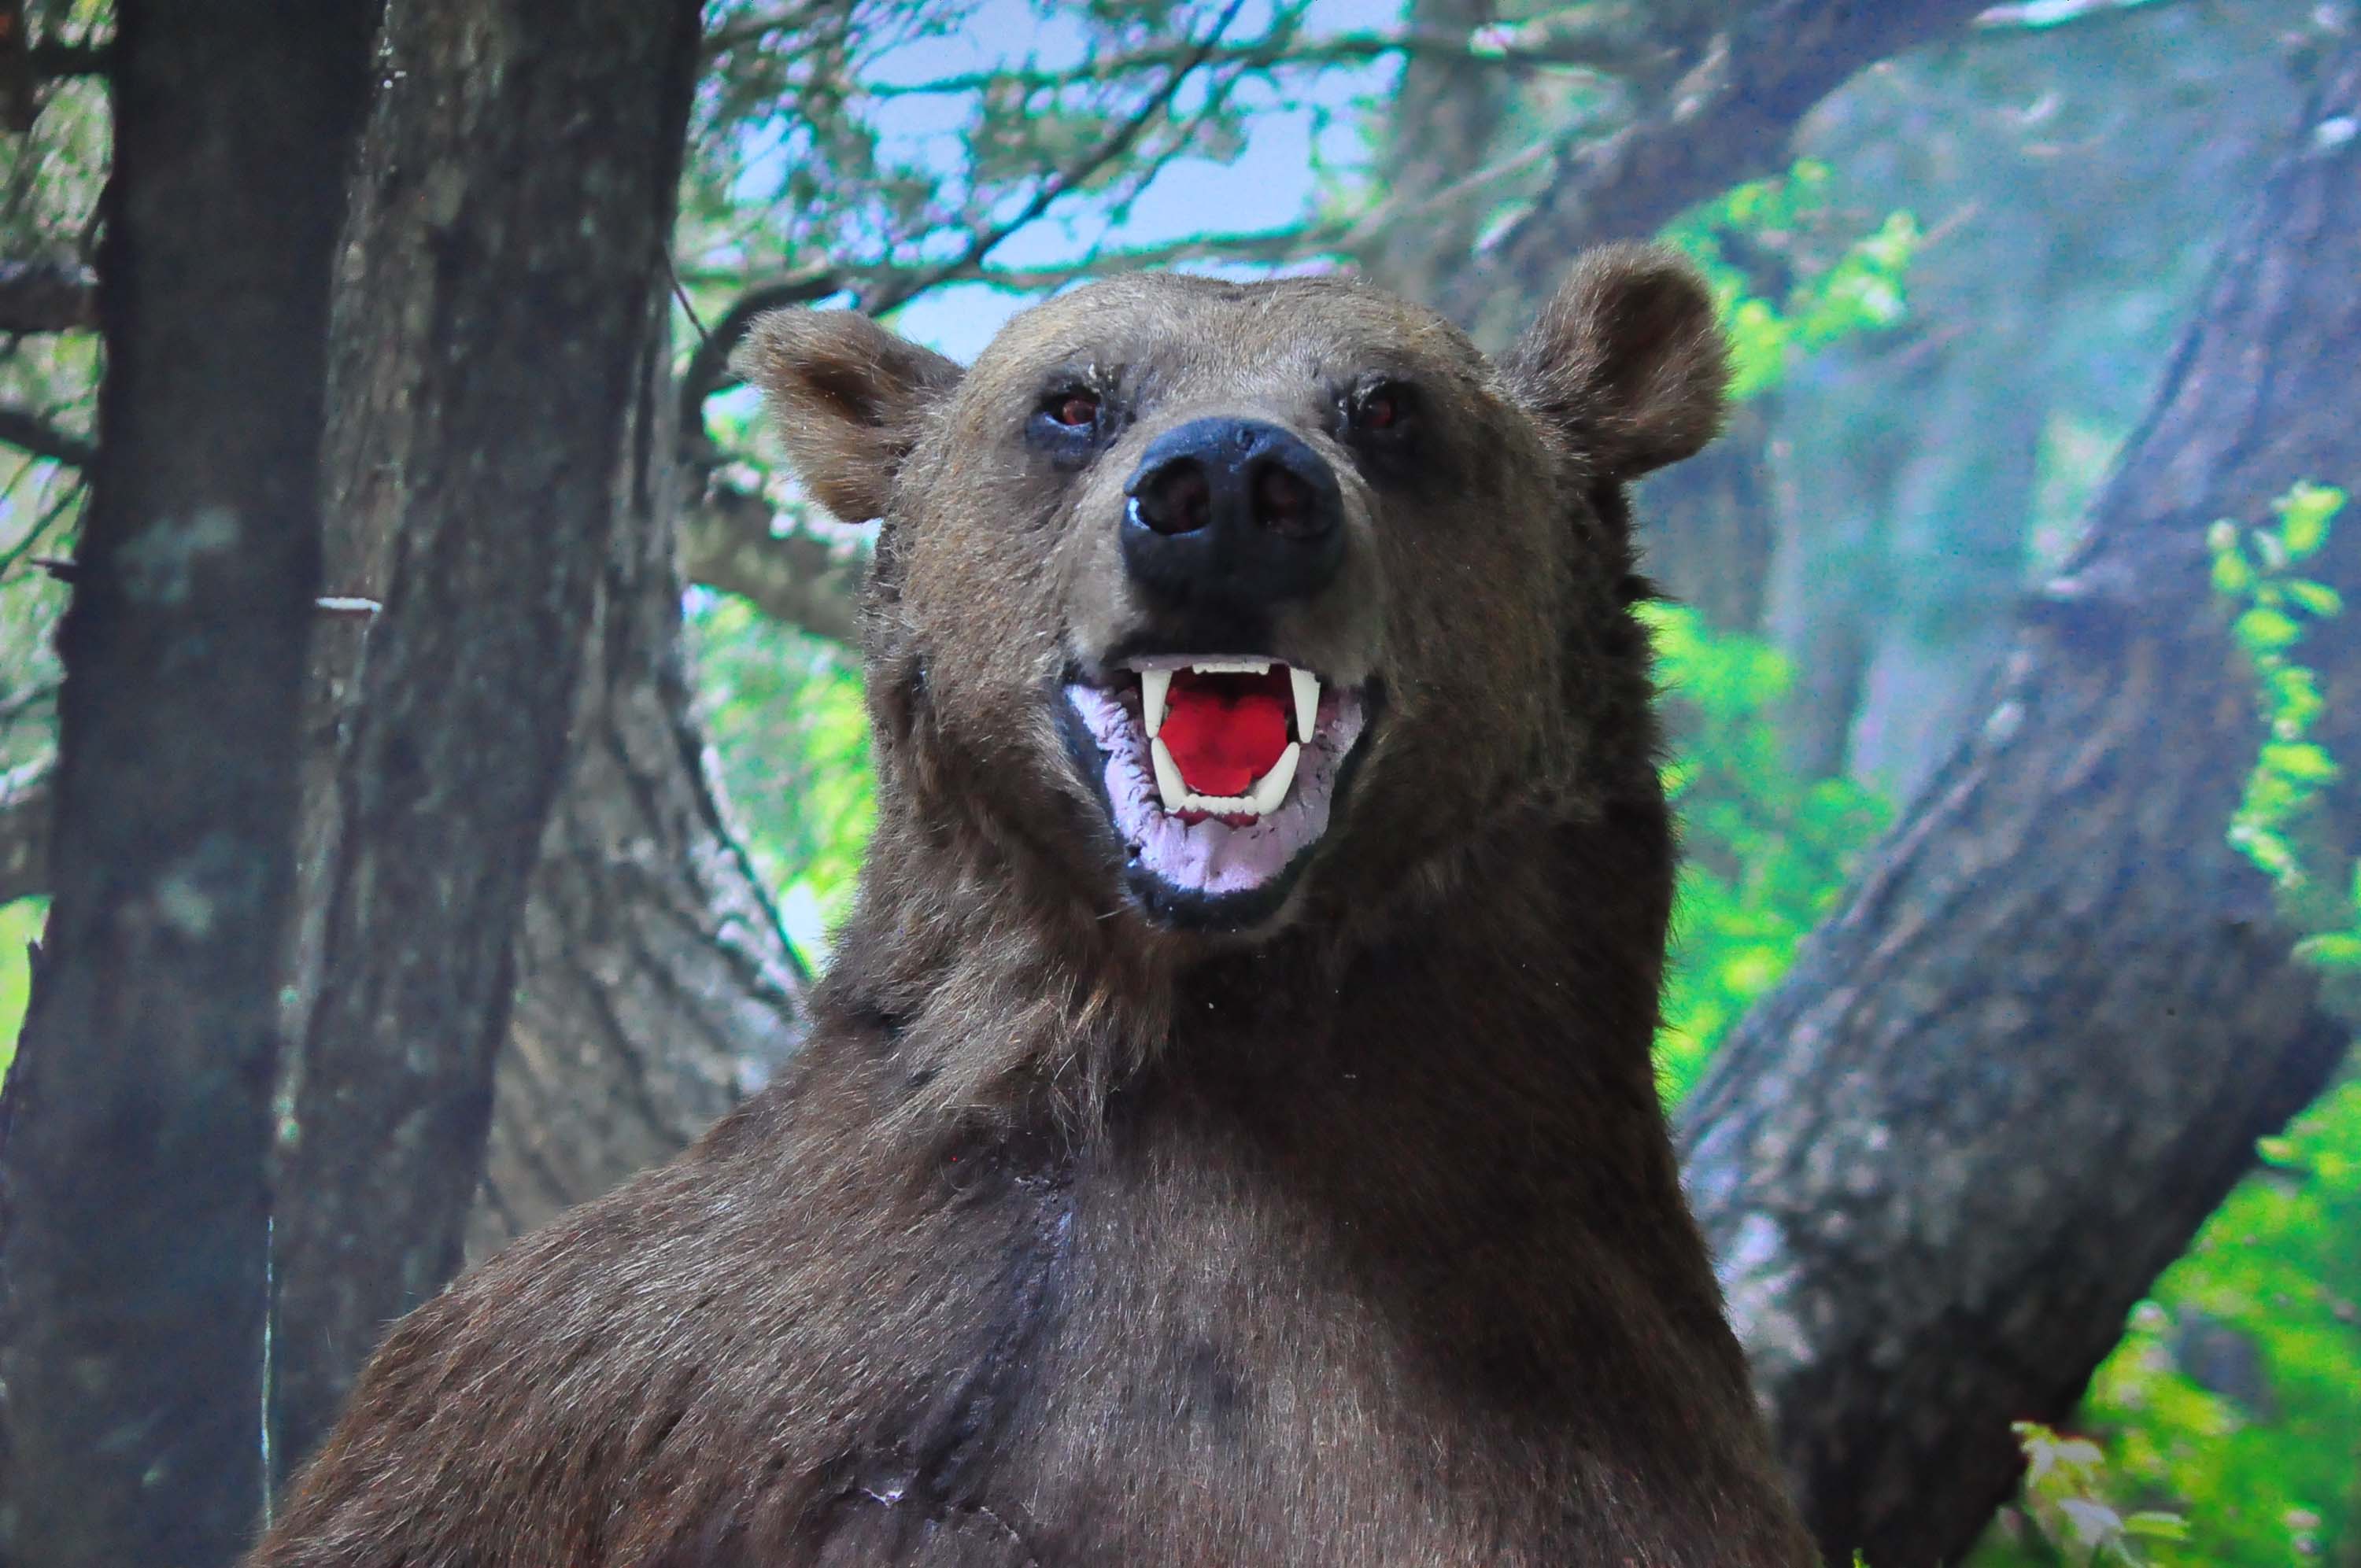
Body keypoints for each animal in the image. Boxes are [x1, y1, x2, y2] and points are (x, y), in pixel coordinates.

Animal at [249, 245, 1813, 1568]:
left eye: (1388, 404)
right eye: (1071, 400)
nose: (1227, 485)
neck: (1183, 1021)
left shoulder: (1545, 1416)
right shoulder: (619, 1376)